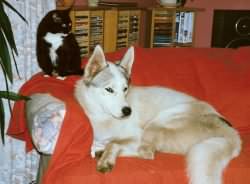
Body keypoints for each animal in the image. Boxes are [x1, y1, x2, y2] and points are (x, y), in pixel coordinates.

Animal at [75, 45, 241, 184]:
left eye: (125, 89)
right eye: (109, 89)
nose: (128, 111)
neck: (102, 117)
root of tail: (230, 131)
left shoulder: (137, 135)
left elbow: (114, 142)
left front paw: (107, 159)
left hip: (157, 123)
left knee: (147, 153)